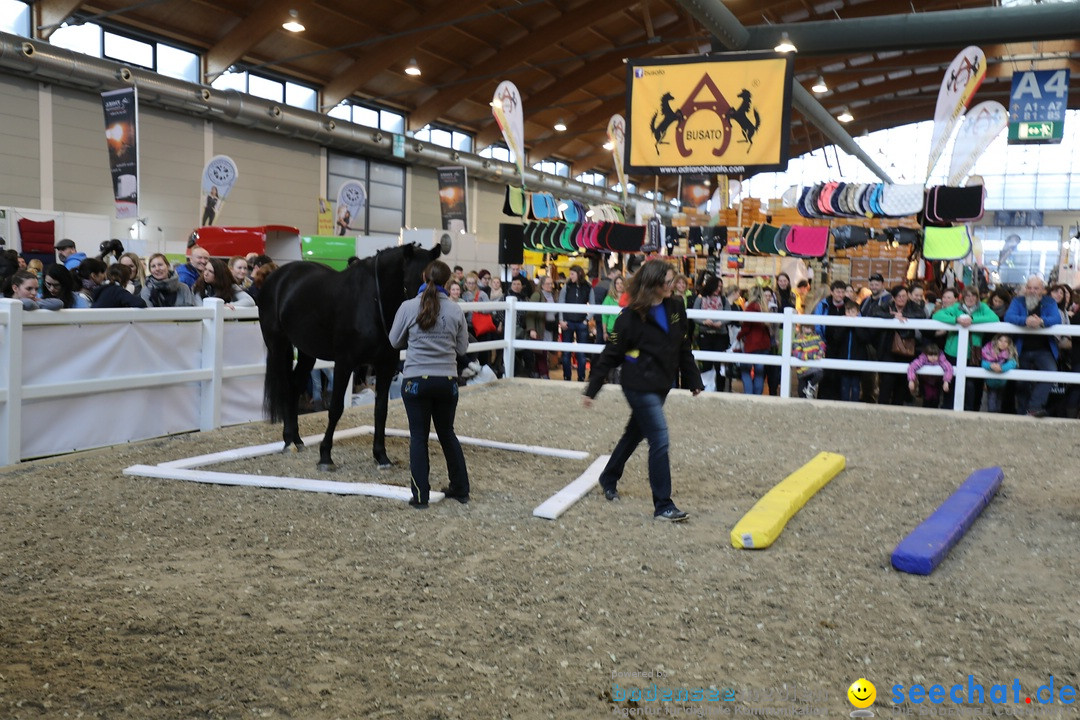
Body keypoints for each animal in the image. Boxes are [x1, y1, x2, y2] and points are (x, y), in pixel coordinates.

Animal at [259, 239, 444, 470]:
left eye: (439, 282)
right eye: (409, 282)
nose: (428, 320)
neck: (372, 302)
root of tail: (276, 276)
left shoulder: (386, 365)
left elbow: (381, 410)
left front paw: (381, 456)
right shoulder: (344, 363)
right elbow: (336, 408)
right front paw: (325, 456)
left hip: (306, 352)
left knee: (294, 387)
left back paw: (296, 440)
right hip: (278, 345)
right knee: (285, 388)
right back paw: (287, 441)